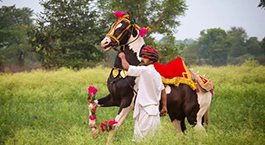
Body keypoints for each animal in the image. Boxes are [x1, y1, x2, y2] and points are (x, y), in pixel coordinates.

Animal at [88, 11, 212, 139]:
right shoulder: (114, 99)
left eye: (122, 28)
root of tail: (203, 84)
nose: (105, 43)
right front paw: (93, 129)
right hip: (176, 116)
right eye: (113, 25)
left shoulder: (127, 103)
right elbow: (92, 104)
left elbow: (114, 127)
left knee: (203, 135)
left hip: (194, 118)